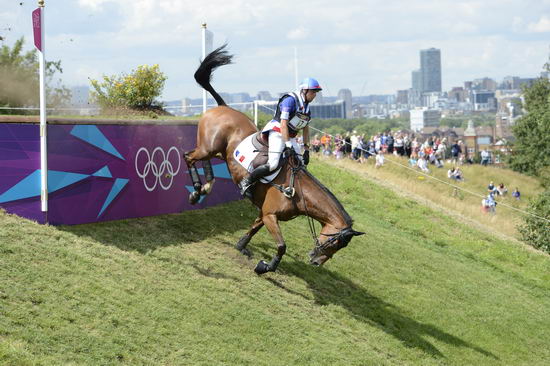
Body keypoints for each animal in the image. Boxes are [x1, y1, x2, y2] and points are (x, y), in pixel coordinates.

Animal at [185, 44, 366, 274]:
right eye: (335, 242)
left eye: (340, 246)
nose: (316, 262)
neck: (298, 191)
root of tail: (223, 107)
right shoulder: (270, 214)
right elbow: (281, 246)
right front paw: (264, 267)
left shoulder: (265, 212)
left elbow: (253, 228)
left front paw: (241, 246)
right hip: (208, 147)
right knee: (188, 157)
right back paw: (196, 190)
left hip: (216, 150)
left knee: (202, 159)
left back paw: (207, 185)